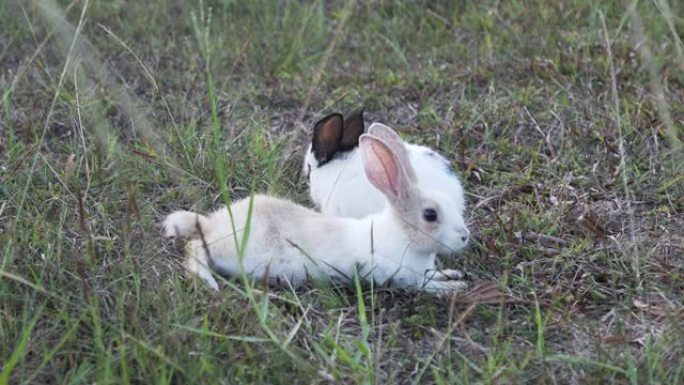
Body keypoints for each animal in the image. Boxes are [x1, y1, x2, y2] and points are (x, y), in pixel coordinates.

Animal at [164, 134, 470, 294]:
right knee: (194, 250)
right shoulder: (390, 272)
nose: (465, 237)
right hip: (227, 250)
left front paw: (452, 275)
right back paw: (209, 282)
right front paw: (453, 288)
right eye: (430, 215)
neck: (402, 236)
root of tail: (211, 223)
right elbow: (422, 284)